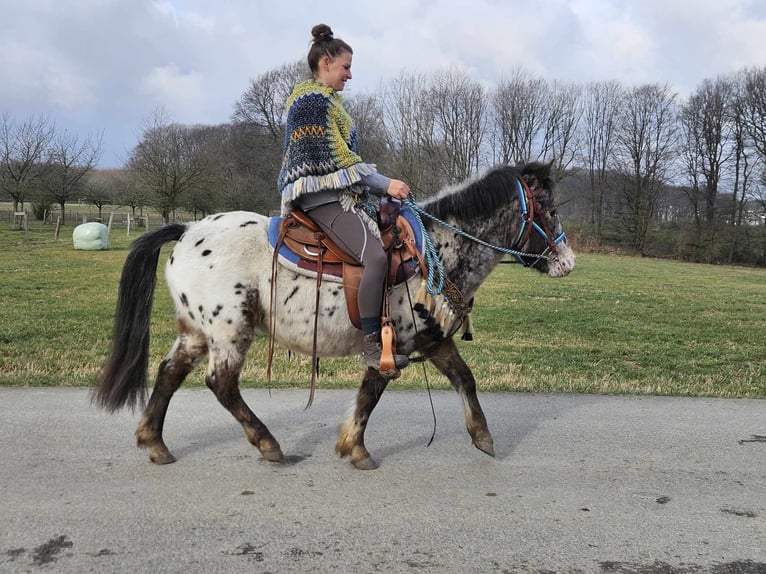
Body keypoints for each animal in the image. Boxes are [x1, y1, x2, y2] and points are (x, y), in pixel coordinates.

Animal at [93, 162, 576, 472]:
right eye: (551, 211)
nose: (568, 261)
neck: (435, 249)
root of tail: (190, 230)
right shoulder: (392, 344)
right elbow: (370, 394)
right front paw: (355, 449)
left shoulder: (433, 338)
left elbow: (465, 379)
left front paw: (483, 437)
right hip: (230, 329)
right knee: (221, 383)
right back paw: (268, 444)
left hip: (196, 331)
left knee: (169, 372)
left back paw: (154, 442)